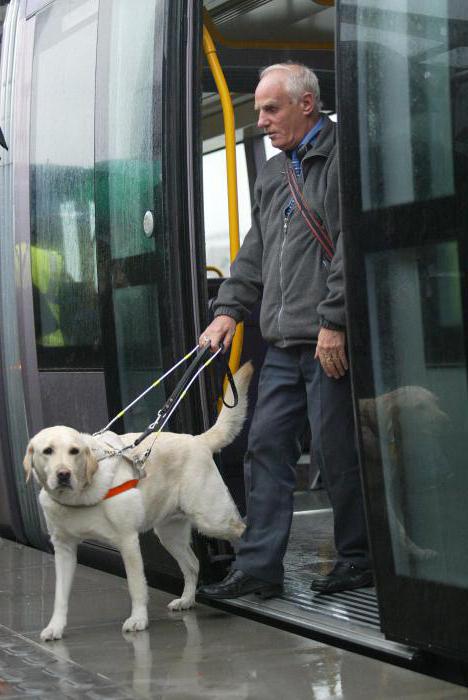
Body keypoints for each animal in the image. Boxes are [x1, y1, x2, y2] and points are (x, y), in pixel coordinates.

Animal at [22, 360, 252, 640]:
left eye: (74, 451)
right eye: (47, 451)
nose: (63, 474)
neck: (80, 497)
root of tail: (197, 439)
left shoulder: (127, 540)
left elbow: (136, 586)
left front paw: (139, 620)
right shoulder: (63, 549)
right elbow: (60, 596)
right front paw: (55, 626)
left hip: (211, 518)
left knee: (242, 530)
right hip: (170, 533)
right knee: (193, 564)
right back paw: (186, 599)